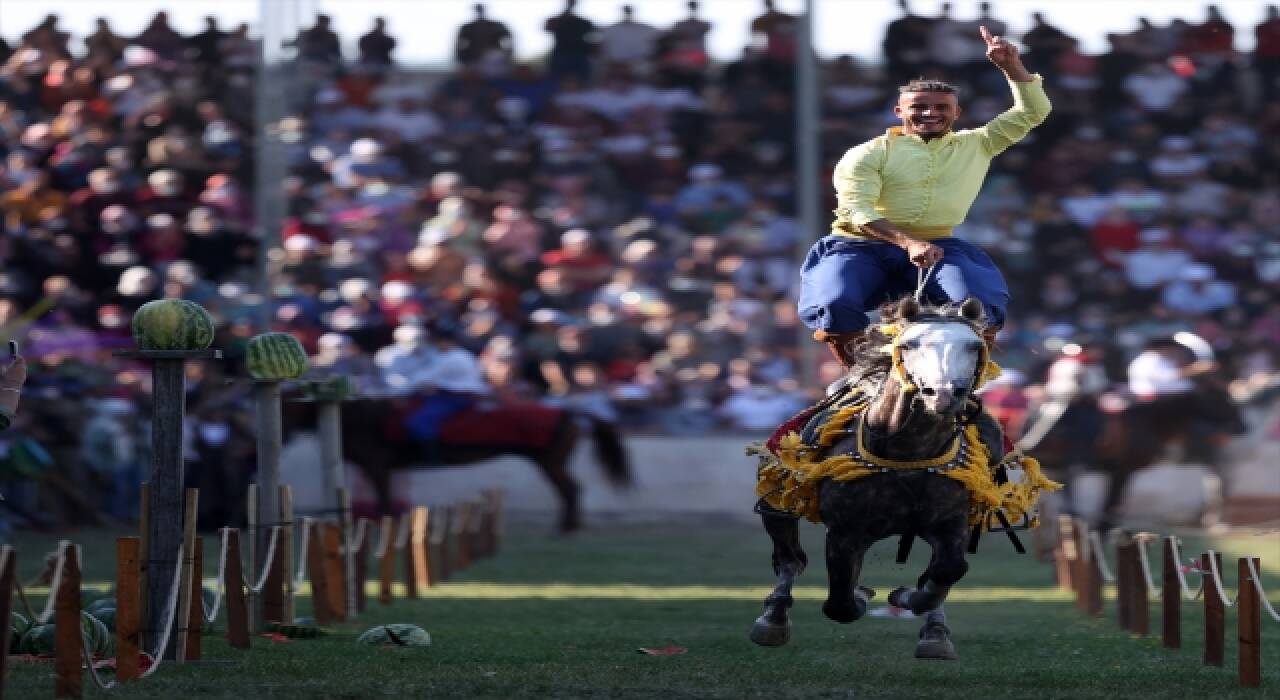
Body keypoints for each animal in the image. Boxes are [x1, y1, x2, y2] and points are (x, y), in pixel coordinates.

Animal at [747, 296, 998, 665]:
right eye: (909, 344)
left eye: (974, 346)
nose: (943, 395)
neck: (908, 453)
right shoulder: (844, 532)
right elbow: (839, 603)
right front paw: (865, 594)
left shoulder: (951, 523)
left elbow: (947, 571)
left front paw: (909, 600)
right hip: (778, 500)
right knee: (790, 559)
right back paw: (773, 619)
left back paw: (934, 631)